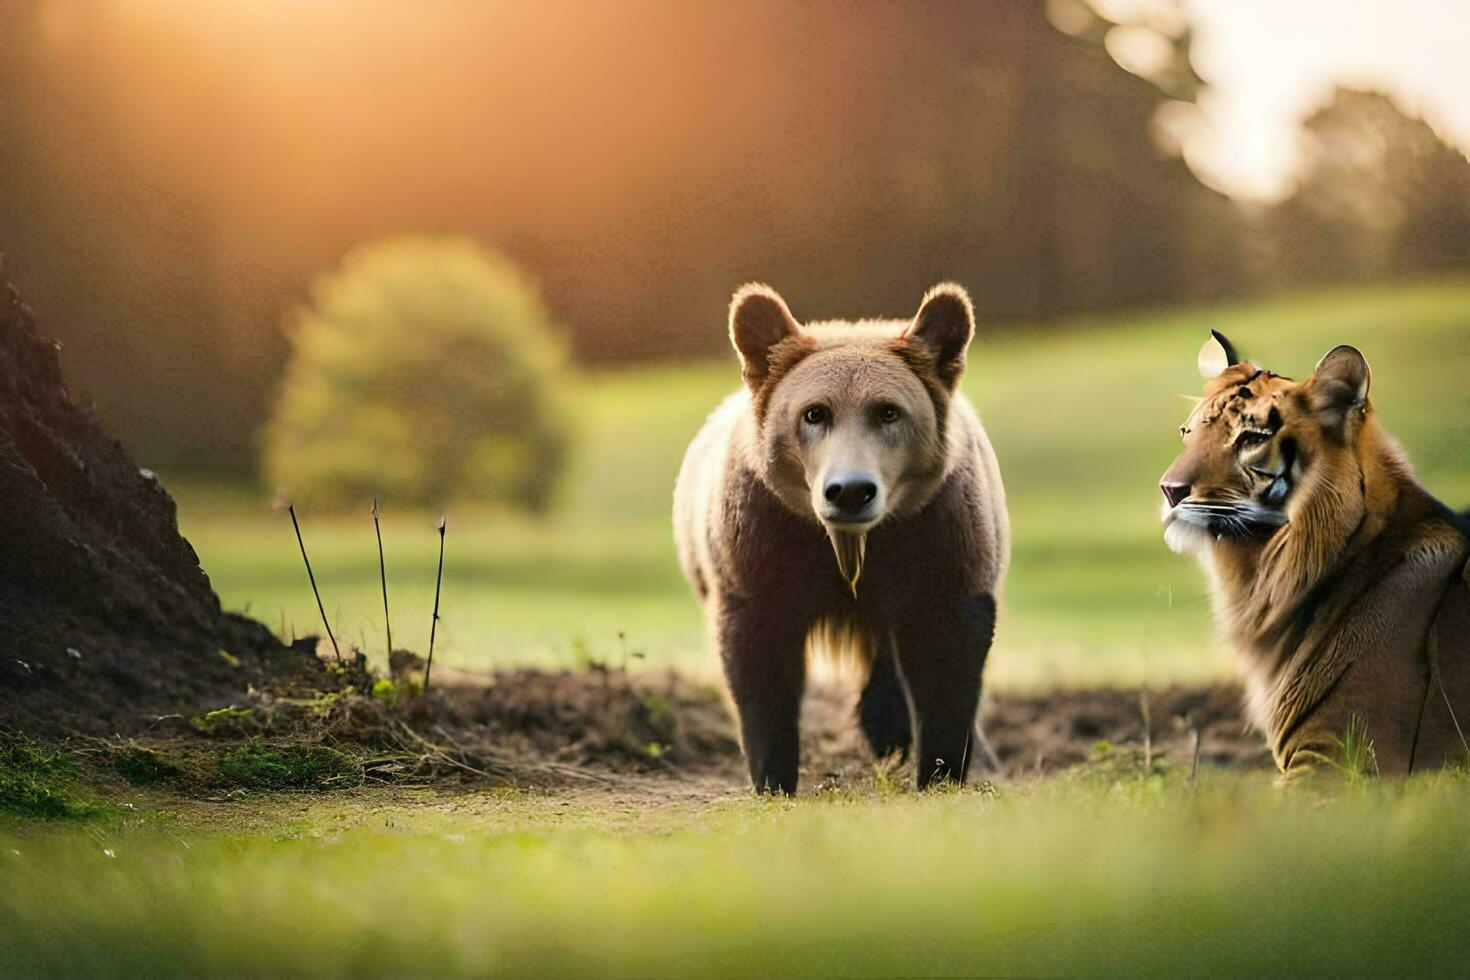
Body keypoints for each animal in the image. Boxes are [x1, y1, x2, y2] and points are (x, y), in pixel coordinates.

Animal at [676, 282, 1011, 787]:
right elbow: (759, 661)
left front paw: (941, 771)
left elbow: (947, 658)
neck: (851, 546)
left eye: (889, 411)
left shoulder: (938, 538)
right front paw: (773, 776)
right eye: (814, 413)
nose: (850, 490)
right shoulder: (763, 542)